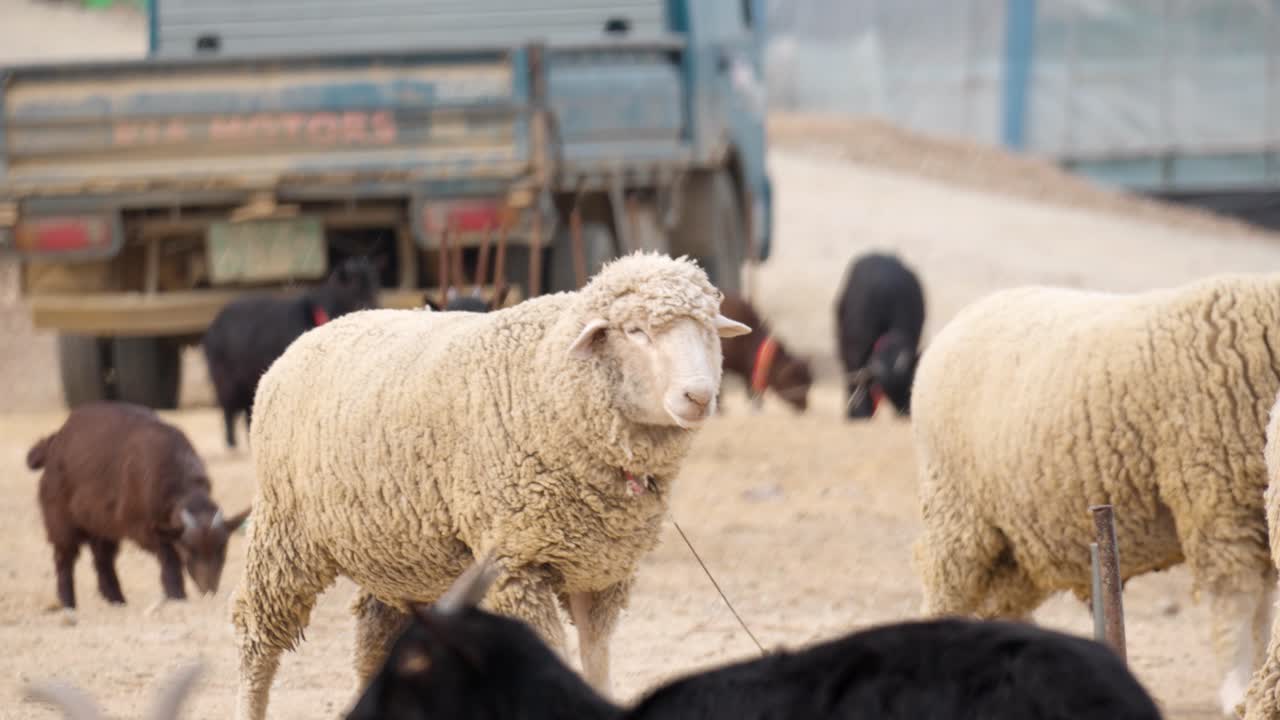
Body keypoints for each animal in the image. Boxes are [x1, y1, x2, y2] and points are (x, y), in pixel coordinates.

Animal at [27, 401, 250, 612]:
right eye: (191, 550)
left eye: (222, 549)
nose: (209, 590)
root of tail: (55, 440)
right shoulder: (143, 528)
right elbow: (170, 558)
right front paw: (176, 595)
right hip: (61, 523)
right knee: (64, 560)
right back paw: (69, 604)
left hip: (101, 527)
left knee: (102, 561)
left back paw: (117, 601)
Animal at [201, 255, 380, 449]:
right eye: (352, 288)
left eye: (375, 286)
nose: (371, 306)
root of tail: (213, 326)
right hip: (226, 378)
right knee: (228, 407)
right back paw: (231, 443)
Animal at [229, 251, 751, 720]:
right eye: (636, 332)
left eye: (708, 330)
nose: (699, 396)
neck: (550, 382)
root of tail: (317, 333)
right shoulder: (519, 564)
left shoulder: (599, 573)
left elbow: (596, 661)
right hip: (284, 535)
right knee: (256, 639)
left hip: (395, 554)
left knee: (374, 639)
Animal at [909, 273, 1280, 718]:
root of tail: (961, 318)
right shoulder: (1219, 501)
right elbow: (1238, 605)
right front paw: (1238, 690)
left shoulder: (1257, 512)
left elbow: (1264, 610)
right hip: (955, 512)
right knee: (944, 599)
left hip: (1016, 540)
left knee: (1001, 609)